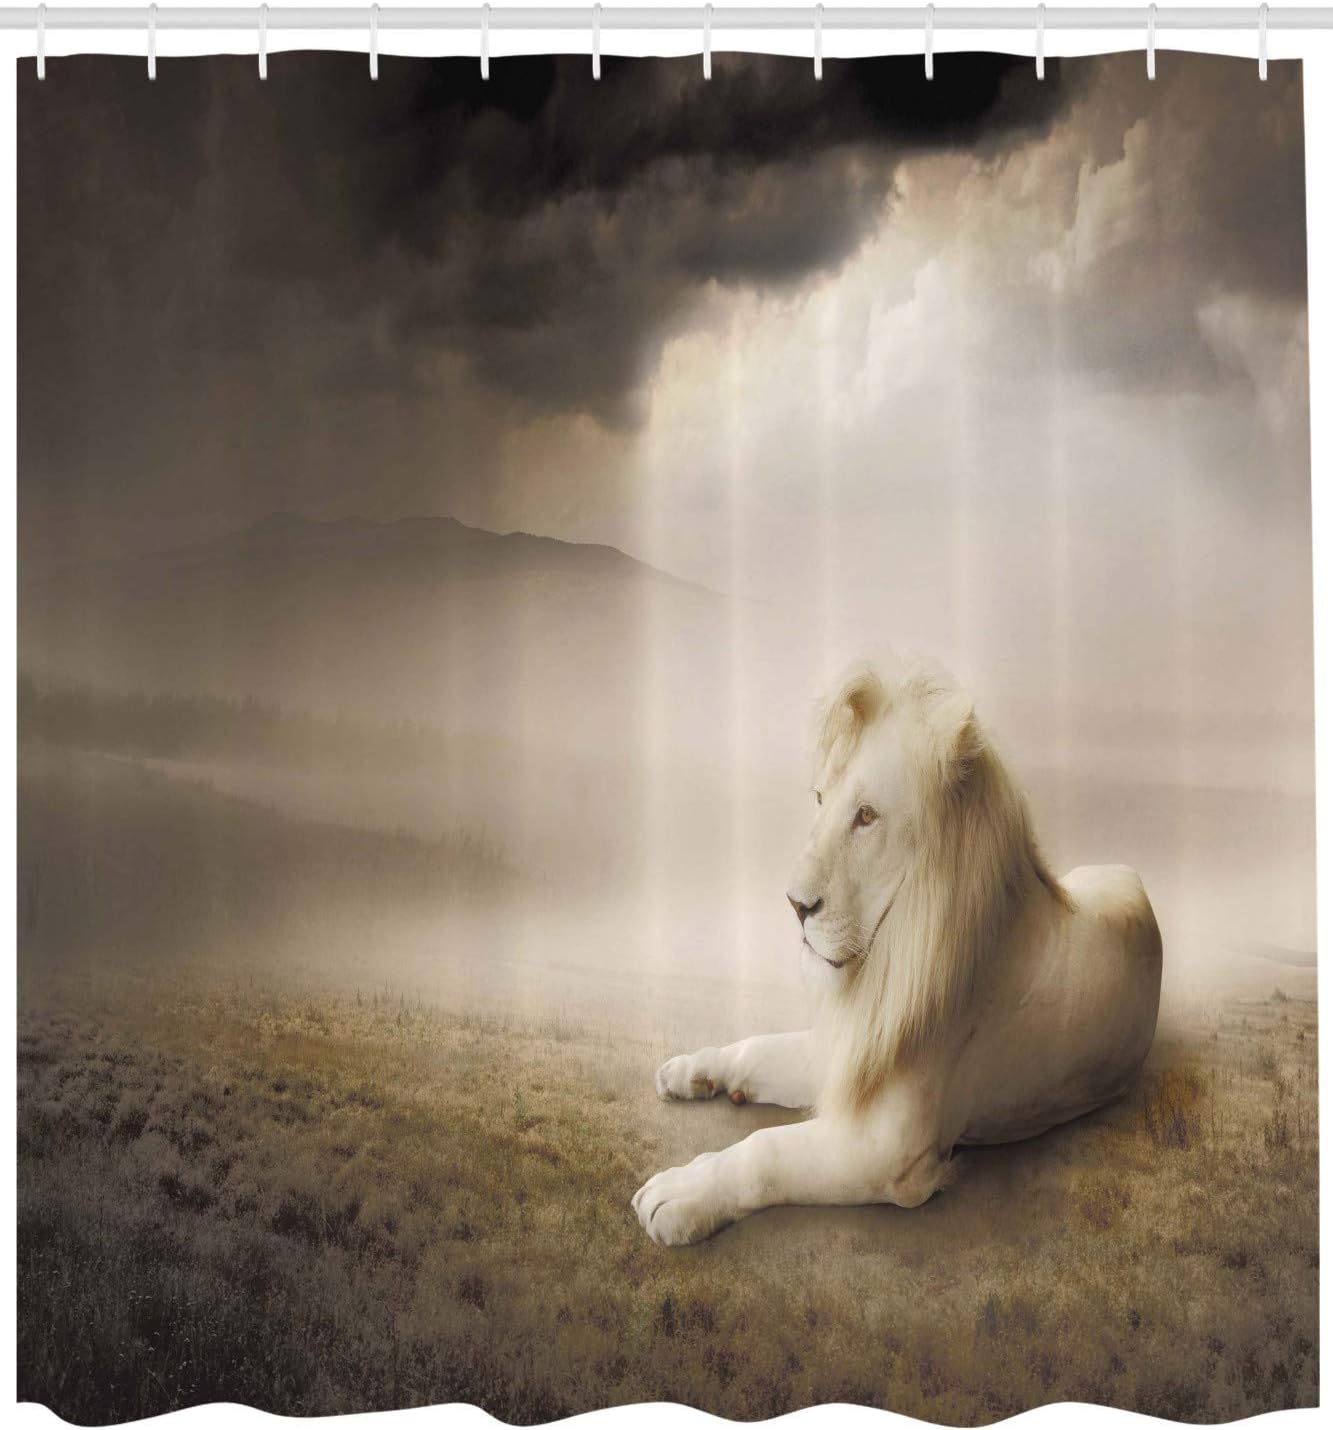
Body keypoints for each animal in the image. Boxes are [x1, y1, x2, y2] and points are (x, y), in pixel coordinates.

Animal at [633, 657, 1162, 1246]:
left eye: (866, 816)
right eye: (820, 800)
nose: (794, 905)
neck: (882, 970)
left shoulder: (890, 1152)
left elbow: (765, 1151)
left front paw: (678, 1194)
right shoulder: (850, 1051)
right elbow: (758, 1048)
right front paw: (692, 1070)